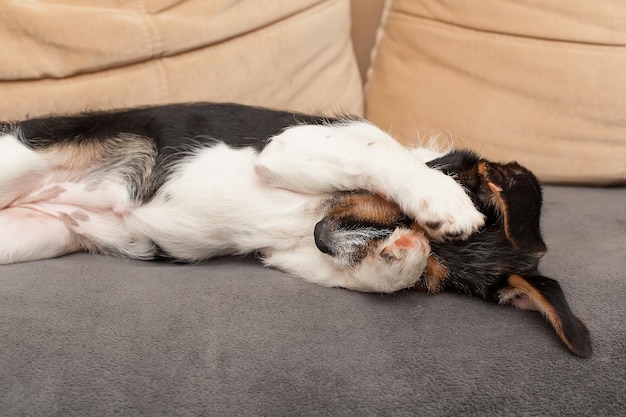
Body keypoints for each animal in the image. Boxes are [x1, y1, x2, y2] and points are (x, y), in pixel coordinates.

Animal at [0, 102, 584, 356]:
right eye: (397, 207)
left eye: (431, 282)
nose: (324, 238)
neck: (315, 217)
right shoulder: (293, 146)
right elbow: (378, 153)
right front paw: (440, 198)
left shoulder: (289, 253)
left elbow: (366, 275)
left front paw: (398, 256)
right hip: (16, 157)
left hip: (28, 237)